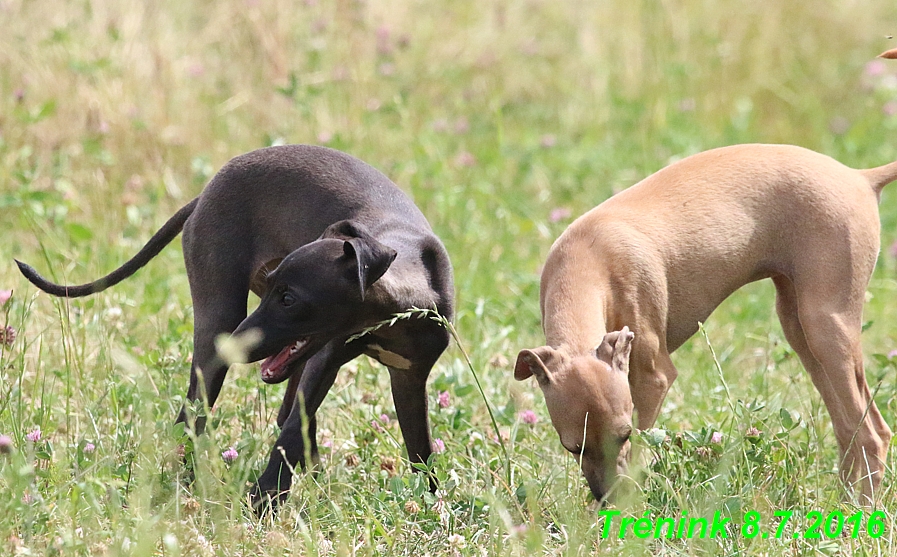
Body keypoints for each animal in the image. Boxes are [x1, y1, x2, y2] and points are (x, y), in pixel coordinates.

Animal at [15, 146, 456, 510]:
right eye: (276, 288)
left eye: (288, 298)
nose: (235, 346)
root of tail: (205, 192)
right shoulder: (326, 360)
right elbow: (292, 433)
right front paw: (261, 504)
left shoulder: (408, 377)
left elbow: (420, 454)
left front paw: (432, 507)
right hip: (219, 319)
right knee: (193, 418)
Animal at [516, 144, 896, 504]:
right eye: (572, 447)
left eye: (623, 435)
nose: (609, 500)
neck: (586, 259)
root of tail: (859, 176)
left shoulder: (654, 379)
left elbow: (639, 452)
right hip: (800, 329)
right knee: (850, 429)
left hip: (825, 327)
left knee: (872, 434)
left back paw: (863, 510)